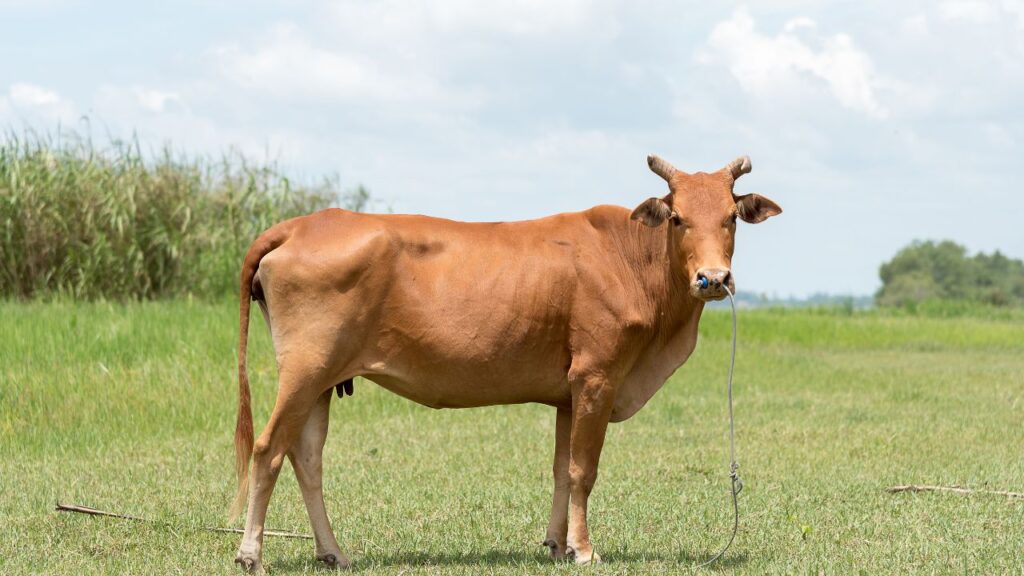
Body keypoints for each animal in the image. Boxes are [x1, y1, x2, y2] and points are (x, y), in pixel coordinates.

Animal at [228, 154, 781, 572]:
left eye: (730, 217)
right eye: (677, 217)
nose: (714, 279)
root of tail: (302, 224)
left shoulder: (569, 393)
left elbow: (561, 468)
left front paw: (558, 545)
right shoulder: (597, 377)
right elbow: (583, 469)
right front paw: (584, 550)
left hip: (324, 379)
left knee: (307, 458)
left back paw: (334, 553)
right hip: (304, 370)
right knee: (268, 449)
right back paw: (251, 553)